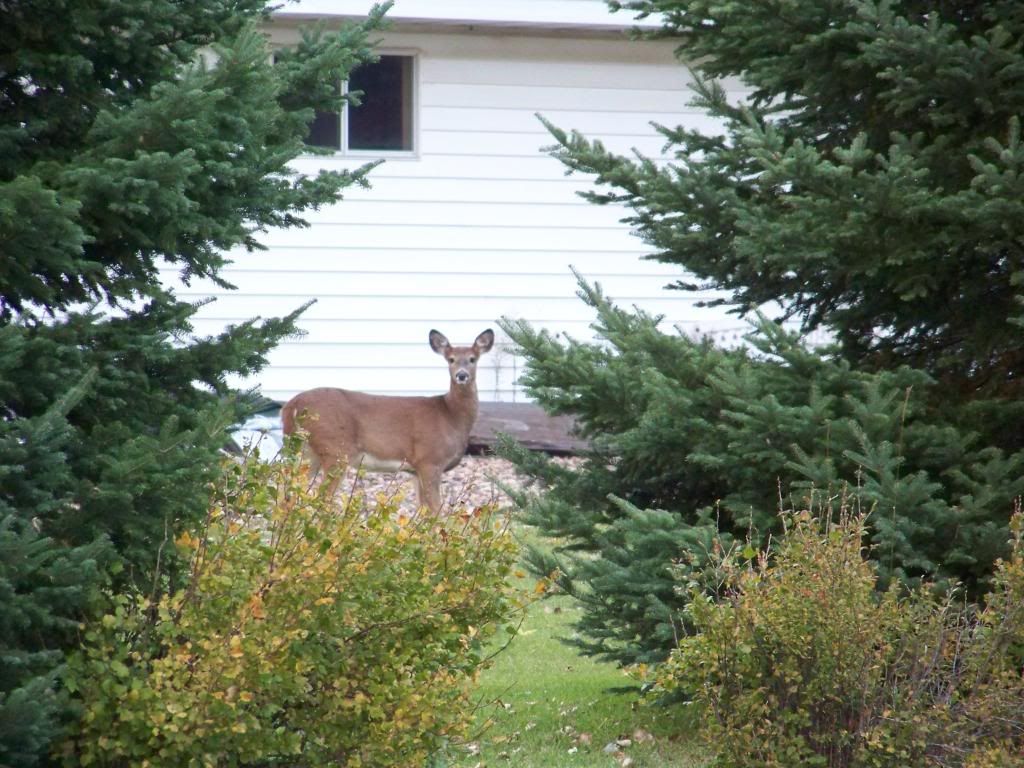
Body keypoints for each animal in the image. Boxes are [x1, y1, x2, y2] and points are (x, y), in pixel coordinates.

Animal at [280, 329, 495, 514]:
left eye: (472, 359)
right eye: (451, 359)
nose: (462, 375)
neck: (450, 416)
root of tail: (291, 406)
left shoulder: (415, 470)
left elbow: (422, 512)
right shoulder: (429, 460)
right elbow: (435, 512)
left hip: (307, 452)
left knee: (289, 496)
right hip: (334, 450)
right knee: (320, 499)